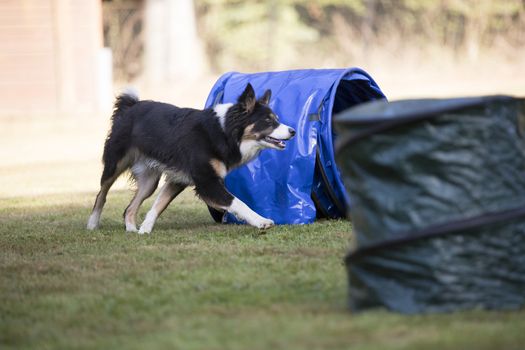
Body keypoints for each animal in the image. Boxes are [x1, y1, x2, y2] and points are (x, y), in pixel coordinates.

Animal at [88, 83, 296, 234]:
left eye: (276, 119)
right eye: (268, 121)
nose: (293, 131)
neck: (224, 132)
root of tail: (130, 106)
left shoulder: (178, 179)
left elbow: (158, 205)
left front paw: (145, 230)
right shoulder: (207, 182)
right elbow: (237, 202)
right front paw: (261, 221)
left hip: (149, 181)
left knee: (129, 208)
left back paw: (131, 229)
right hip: (115, 164)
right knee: (101, 194)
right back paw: (92, 224)